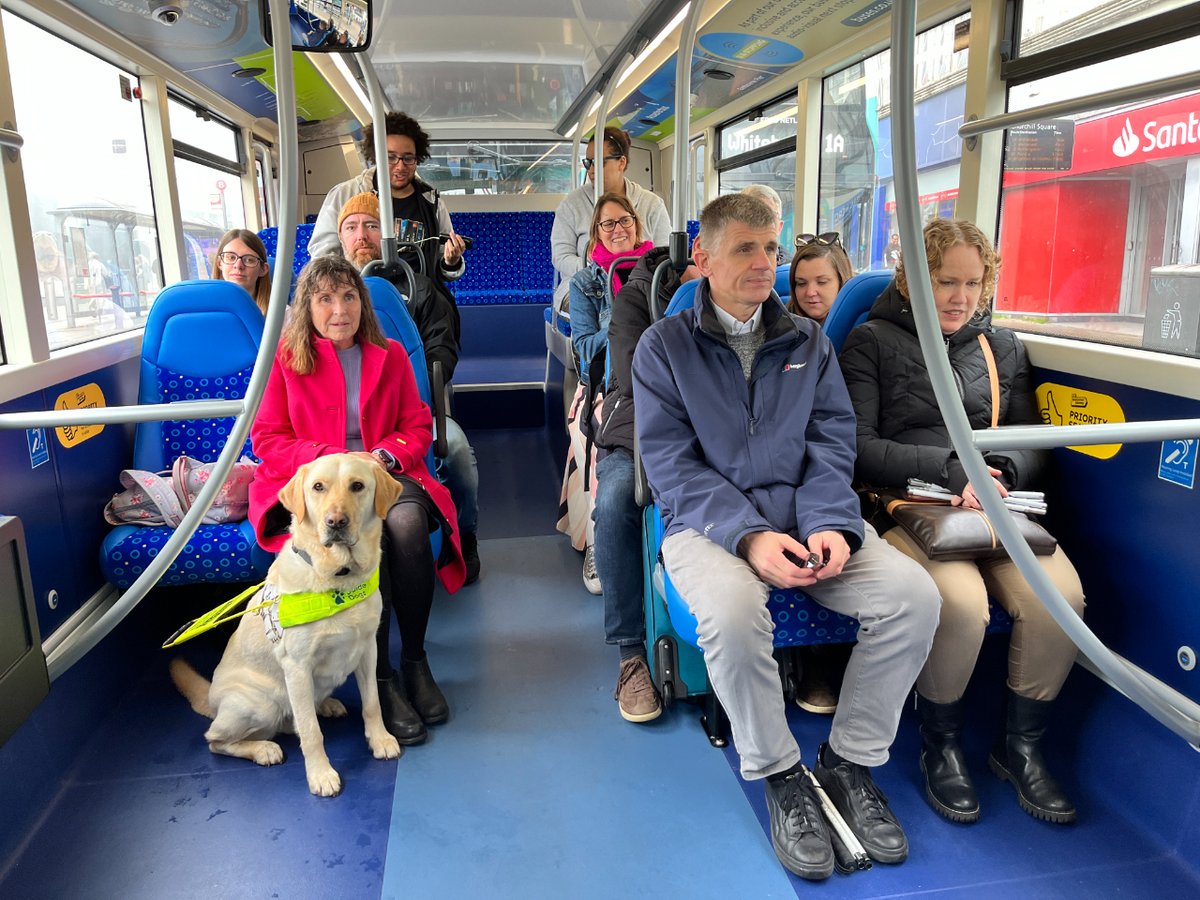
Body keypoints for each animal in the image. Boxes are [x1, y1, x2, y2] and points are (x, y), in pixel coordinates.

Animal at [171, 458, 403, 796]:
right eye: (318, 487)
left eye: (357, 486)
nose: (335, 521)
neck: (339, 578)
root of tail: (213, 699)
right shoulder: (297, 666)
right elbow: (311, 732)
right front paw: (320, 774)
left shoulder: (367, 649)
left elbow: (371, 702)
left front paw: (381, 739)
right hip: (260, 703)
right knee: (216, 740)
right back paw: (263, 748)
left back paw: (326, 705)